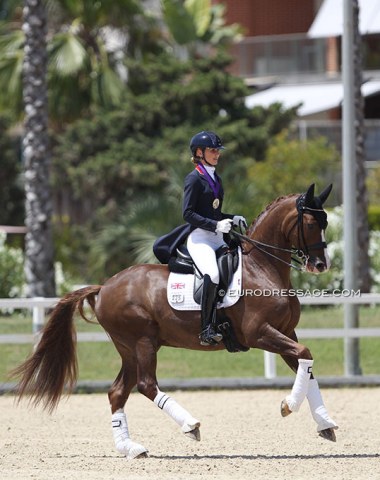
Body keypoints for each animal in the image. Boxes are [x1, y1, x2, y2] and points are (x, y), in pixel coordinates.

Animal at [11, 183, 338, 458]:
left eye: (325, 223)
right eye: (311, 224)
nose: (320, 265)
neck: (262, 267)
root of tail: (104, 287)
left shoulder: (286, 333)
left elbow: (306, 365)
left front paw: (325, 423)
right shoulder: (260, 333)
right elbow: (305, 355)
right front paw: (288, 405)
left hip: (130, 349)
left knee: (118, 392)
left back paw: (131, 448)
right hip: (142, 342)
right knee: (146, 385)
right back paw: (190, 425)